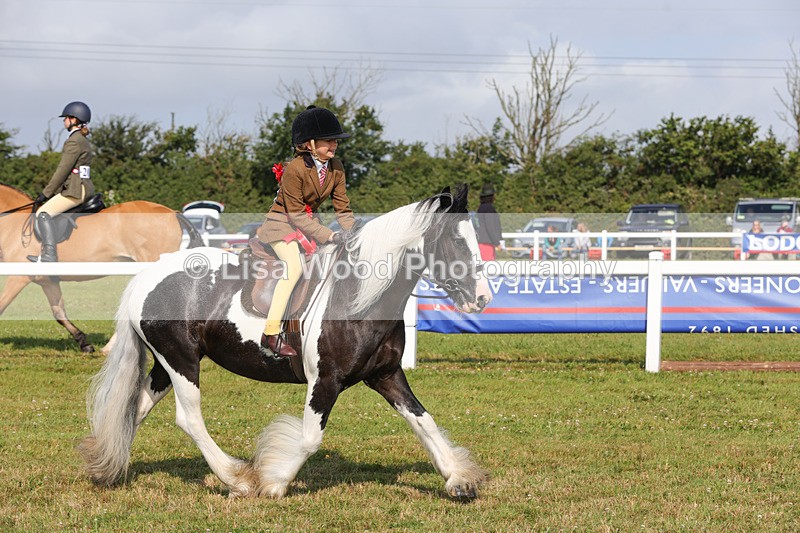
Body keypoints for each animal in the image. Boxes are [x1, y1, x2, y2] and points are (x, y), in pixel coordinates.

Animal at [0, 183, 203, 352]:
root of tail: (171, 212)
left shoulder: (18, 278)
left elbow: (2, 306)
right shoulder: (47, 281)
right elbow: (59, 313)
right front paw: (84, 343)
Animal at [78, 184, 492, 500]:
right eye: (457, 239)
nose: (483, 298)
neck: (357, 296)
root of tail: (144, 278)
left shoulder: (387, 375)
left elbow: (425, 422)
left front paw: (458, 479)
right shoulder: (325, 381)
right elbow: (309, 439)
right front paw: (273, 482)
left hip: (169, 363)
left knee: (136, 409)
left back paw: (108, 468)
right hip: (182, 362)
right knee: (189, 419)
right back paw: (237, 479)